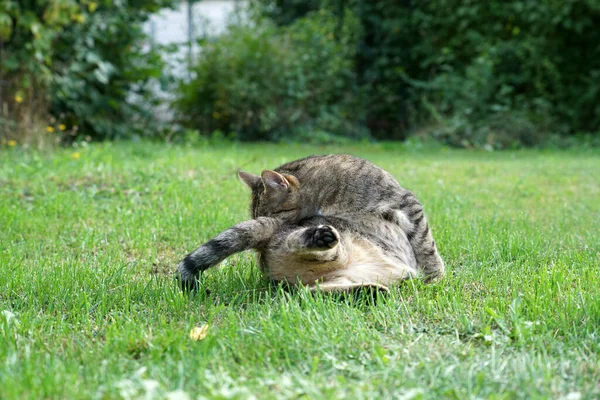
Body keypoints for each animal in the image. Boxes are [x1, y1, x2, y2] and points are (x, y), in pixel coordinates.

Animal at [176, 155, 442, 292]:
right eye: (255, 214)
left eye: (272, 211)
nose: (265, 220)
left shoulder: (405, 204)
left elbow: (425, 243)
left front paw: (434, 275)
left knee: (312, 292)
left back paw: (368, 292)